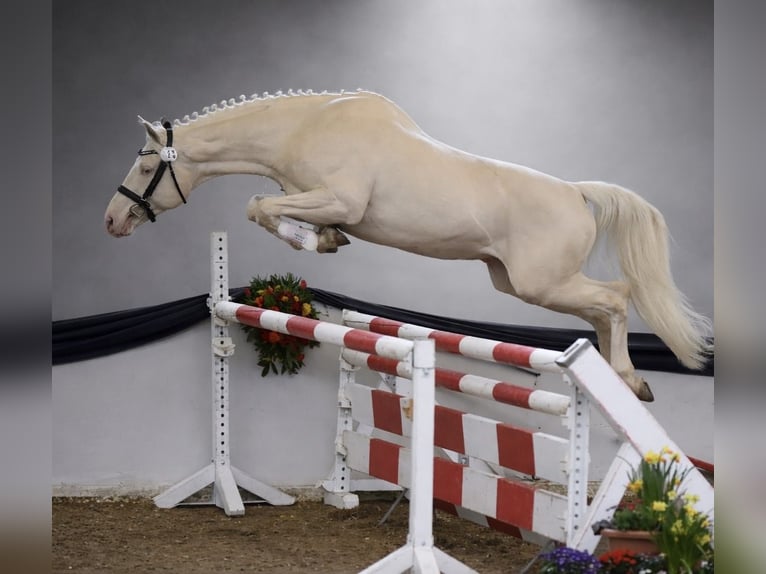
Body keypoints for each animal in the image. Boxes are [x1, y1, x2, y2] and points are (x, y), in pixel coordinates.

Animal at [104, 89, 712, 401]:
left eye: (144, 165)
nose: (112, 221)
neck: (304, 128)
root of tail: (576, 192)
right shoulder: (308, 194)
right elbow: (264, 208)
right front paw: (326, 239)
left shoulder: (338, 197)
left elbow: (259, 207)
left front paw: (317, 241)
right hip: (521, 282)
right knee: (605, 308)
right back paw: (621, 382)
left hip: (543, 283)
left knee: (617, 297)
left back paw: (631, 380)